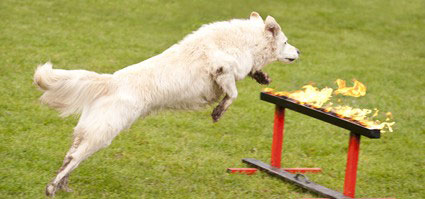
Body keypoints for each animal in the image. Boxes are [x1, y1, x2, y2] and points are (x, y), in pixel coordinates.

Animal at [34, 12, 298, 196]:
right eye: (286, 42)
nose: (299, 51)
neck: (244, 42)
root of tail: (111, 81)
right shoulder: (222, 71)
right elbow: (232, 94)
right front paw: (218, 112)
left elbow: (246, 78)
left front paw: (262, 76)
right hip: (103, 134)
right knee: (73, 159)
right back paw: (52, 188)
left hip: (90, 131)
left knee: (70, 156)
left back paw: (63, 186)